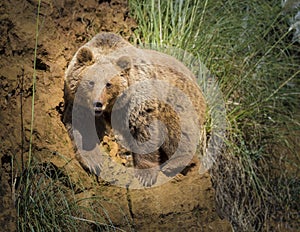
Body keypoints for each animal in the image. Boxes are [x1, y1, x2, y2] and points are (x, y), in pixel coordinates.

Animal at [63, 32, 206, 187]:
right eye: (91, 82)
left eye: (108, 84)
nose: (98, 103)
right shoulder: (78, 103)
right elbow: (82, 127)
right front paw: (93, 161)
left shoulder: (135, 100)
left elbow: (143, 128)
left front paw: (146, 174)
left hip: (178, 99)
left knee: (179, 129)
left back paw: (174, 163)